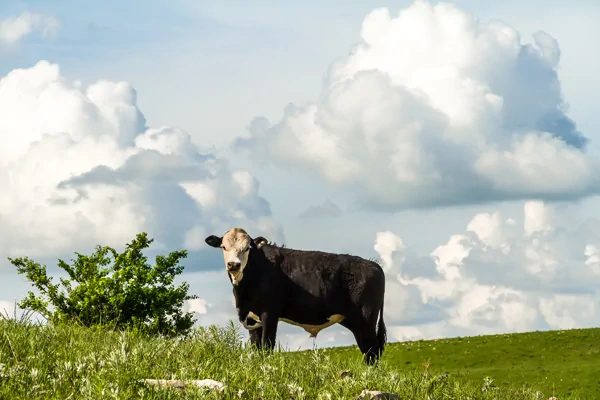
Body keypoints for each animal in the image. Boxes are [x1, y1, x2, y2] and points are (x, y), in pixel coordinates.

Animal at [204, 227, 386, 364]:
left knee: (372, 350)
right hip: (355, 321)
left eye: (247, 248)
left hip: (366, 318)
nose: (233, 264)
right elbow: (256, 347)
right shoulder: (251, 316)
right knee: (370, 350)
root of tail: (374, 264)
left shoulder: (270, 313)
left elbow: (267, 344)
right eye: (223, 247)